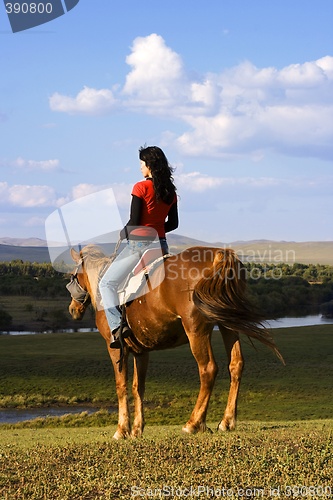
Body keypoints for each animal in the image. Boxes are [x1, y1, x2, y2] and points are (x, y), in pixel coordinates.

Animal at [68, 244, 282, 440]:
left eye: (72, 276)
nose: (72, 309)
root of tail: (219, 253)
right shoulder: (141, 352)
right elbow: (138, 387)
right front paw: (137, 429)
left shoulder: (115, 348)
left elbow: (121, 387)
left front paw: (122, 430)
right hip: (227, 324)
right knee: (236, 364)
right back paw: (227, 421)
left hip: (196, 329)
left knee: (208, 369)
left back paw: (194, 424)